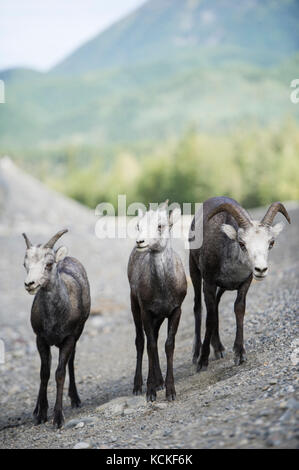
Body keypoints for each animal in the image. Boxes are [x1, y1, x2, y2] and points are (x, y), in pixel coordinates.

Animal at [22, 229, 90, 428]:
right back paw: (37, 409)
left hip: (76, 337)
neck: (54, 318)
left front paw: (58, 418)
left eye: (49, 264)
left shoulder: (69, 338)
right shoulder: (41, 339)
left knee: (70, 363)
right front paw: (40, 415)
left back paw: (75, 399)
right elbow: (44, 373)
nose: (30, 284)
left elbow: (60, 373)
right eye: (25, 264)